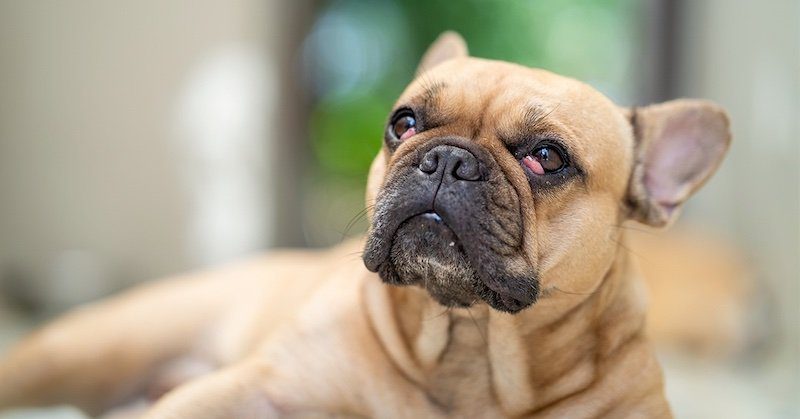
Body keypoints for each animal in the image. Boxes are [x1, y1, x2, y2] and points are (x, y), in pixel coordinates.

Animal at [0, 33, 732, 419]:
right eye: (403, 122)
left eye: (547, 157)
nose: (447, 158)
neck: (469, 344)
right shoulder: (244, 391)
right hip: (75, 351)